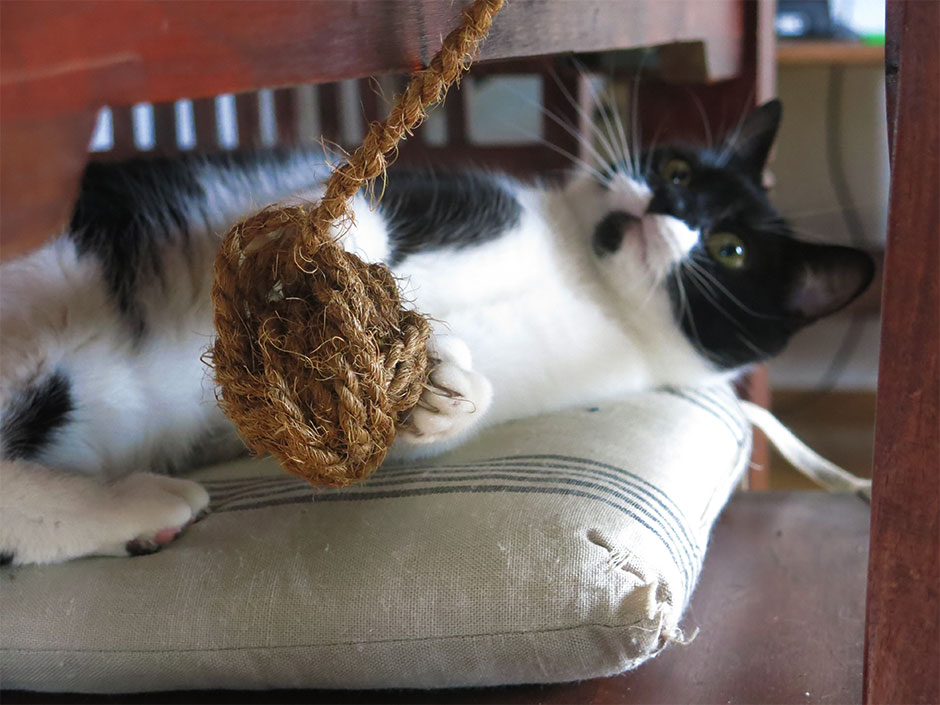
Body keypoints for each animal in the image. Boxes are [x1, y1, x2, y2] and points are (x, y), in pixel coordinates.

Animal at [0, 99, 872, 564]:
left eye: (729, 249)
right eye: (681, 170)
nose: (663, 205)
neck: (586, 285)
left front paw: (448, 394)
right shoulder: (455, 198)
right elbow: (370, 204)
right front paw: (323, 253)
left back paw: (135, 506)